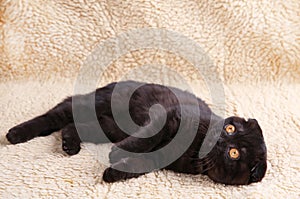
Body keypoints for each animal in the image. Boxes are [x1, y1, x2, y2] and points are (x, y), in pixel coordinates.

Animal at [5, 80, 266, 185]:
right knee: (55, 115)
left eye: (234, 153)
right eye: (230, 128)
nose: (220, 139)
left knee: (74, 126)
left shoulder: (161, 159)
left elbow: (141, 164)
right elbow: (145, 139)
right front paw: (117, 154)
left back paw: (70, 144)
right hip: (95, 104)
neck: (196, 149)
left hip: (107, 127)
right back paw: (15, 134)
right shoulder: (166, 118)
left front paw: (113, 173)